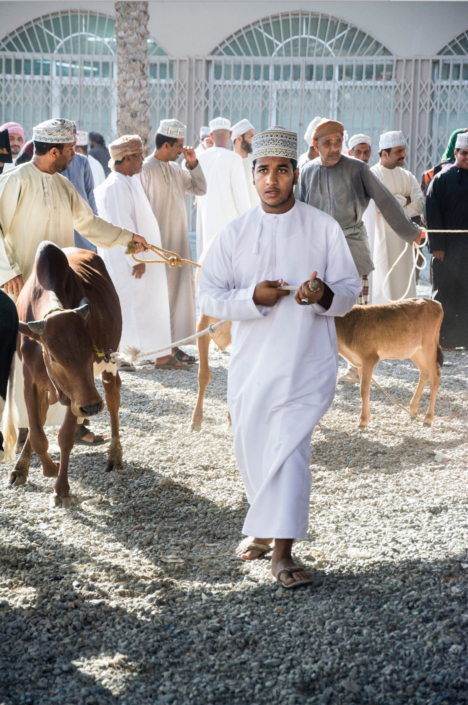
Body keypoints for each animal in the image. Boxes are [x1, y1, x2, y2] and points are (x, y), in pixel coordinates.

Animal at [10, 242, 122, 506]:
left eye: (91, 350)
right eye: (52, 356)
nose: (92, 407)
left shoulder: (79, 394)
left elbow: (65, 437)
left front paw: (61, 488)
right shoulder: (30, 381)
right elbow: (37, 432)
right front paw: (45, 468)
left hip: (109, 368)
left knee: (113, 400)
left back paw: (114, 455)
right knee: (39, 419)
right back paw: (21, 467)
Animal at [189, 296, 442, 428]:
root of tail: (435, 303)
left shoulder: (369, 357)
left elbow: (364, 389)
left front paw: (362, 421)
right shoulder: (360, 362)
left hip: (429, 345)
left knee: (436, 375)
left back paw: (428, 417)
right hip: (415, 351)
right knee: (425, 373)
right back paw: (412, 409)